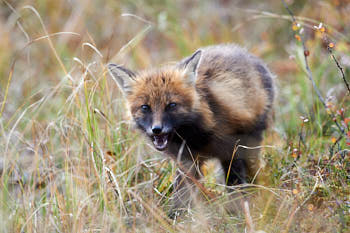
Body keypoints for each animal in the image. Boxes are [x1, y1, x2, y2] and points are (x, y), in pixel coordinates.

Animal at [108, 44, 274, 217]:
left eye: (171, 105)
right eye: (145, 107)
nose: (156, 130)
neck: (196, 136)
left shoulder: (231, 151)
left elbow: (235, 184)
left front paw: (237, 211)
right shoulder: (186, 161)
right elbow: (181, 194)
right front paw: (173, 217)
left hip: (251, 141)